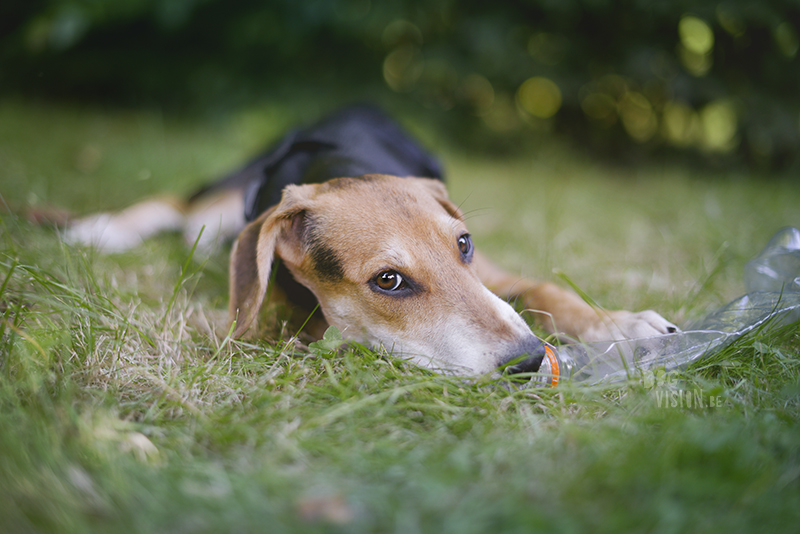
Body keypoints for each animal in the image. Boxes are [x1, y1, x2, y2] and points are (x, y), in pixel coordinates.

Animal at [64, 105, 676, 376]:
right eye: (389, 280)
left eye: (464, 245)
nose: (527, 360)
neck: (347, 167)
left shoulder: (492, 273)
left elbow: (545, 290)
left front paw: (619, 324)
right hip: (224, 201)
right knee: (176, 204)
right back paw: (100, 227)